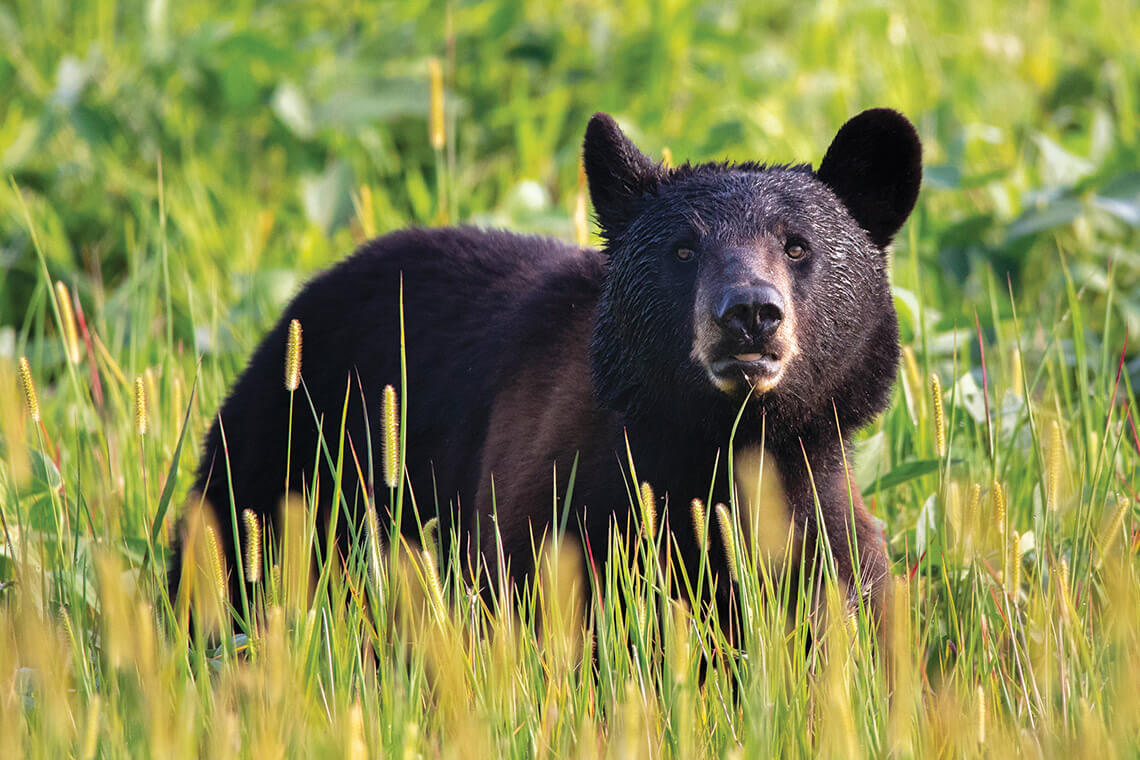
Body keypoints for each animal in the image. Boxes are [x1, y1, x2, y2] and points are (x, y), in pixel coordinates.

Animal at [169, 108, 921, 641]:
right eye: (684, 249)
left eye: (797, 246)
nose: (749, 314)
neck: (719, 445)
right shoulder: (559, 508)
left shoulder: (818, 525)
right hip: (289, 452)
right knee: (222, 551)